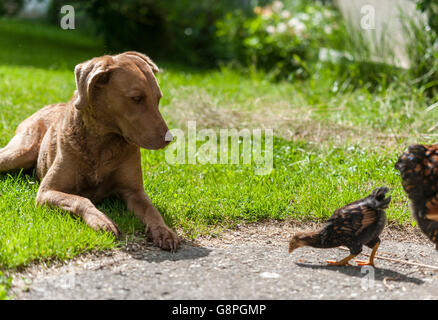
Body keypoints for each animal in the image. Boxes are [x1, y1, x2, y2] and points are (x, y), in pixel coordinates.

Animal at [0, 51, 180, 251]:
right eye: (136, 98)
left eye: (158, 98)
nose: (169, 139)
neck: (103, 143)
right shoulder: (46, 192)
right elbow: (81, 200)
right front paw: (102, 221)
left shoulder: (135, 191)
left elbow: (152, 210)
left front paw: (163, 231)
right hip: (21, 152)